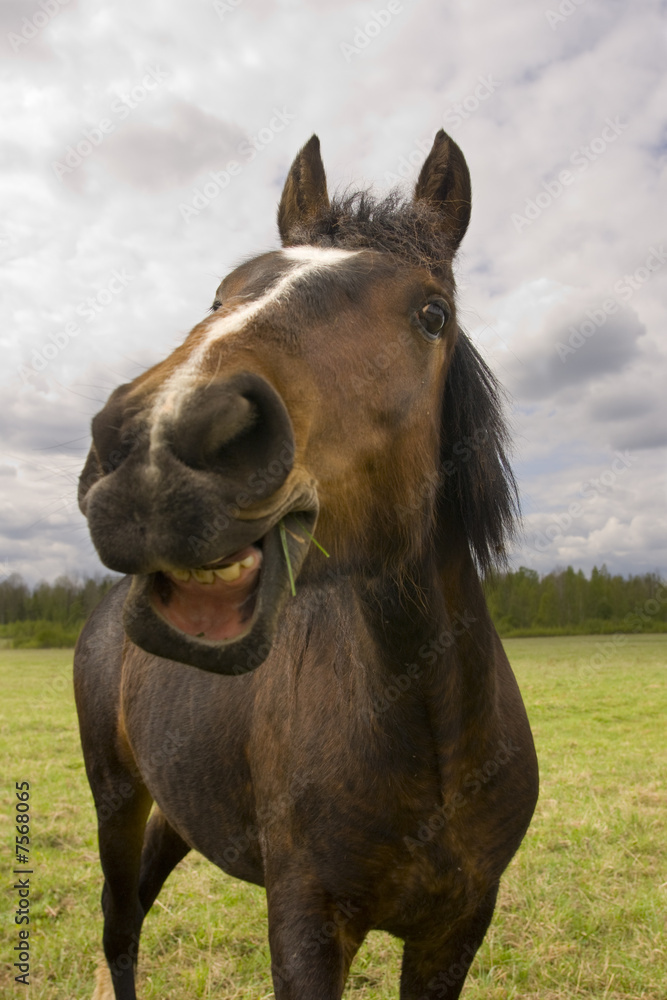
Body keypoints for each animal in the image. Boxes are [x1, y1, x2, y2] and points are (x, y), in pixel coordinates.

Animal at [74, 129, 539, 1000]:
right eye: (221, 295)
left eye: (432, 314)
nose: (157, 442)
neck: (424, 722)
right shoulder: (305, 926)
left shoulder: (455, 929)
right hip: (114, 796)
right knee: (119, 922)